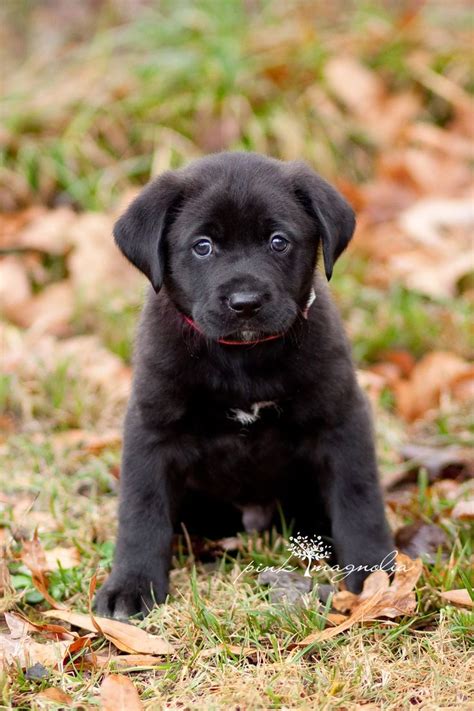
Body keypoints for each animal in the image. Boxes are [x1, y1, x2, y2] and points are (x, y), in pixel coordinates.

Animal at [95, 153, 392, 620]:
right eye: (203, 246)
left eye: (278, 241)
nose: (246, 303)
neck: (242, 358)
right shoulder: (151, 428)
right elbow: (141, 512)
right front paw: (131, 586)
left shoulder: (342, 419)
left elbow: (359, 501)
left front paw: (374, 576)